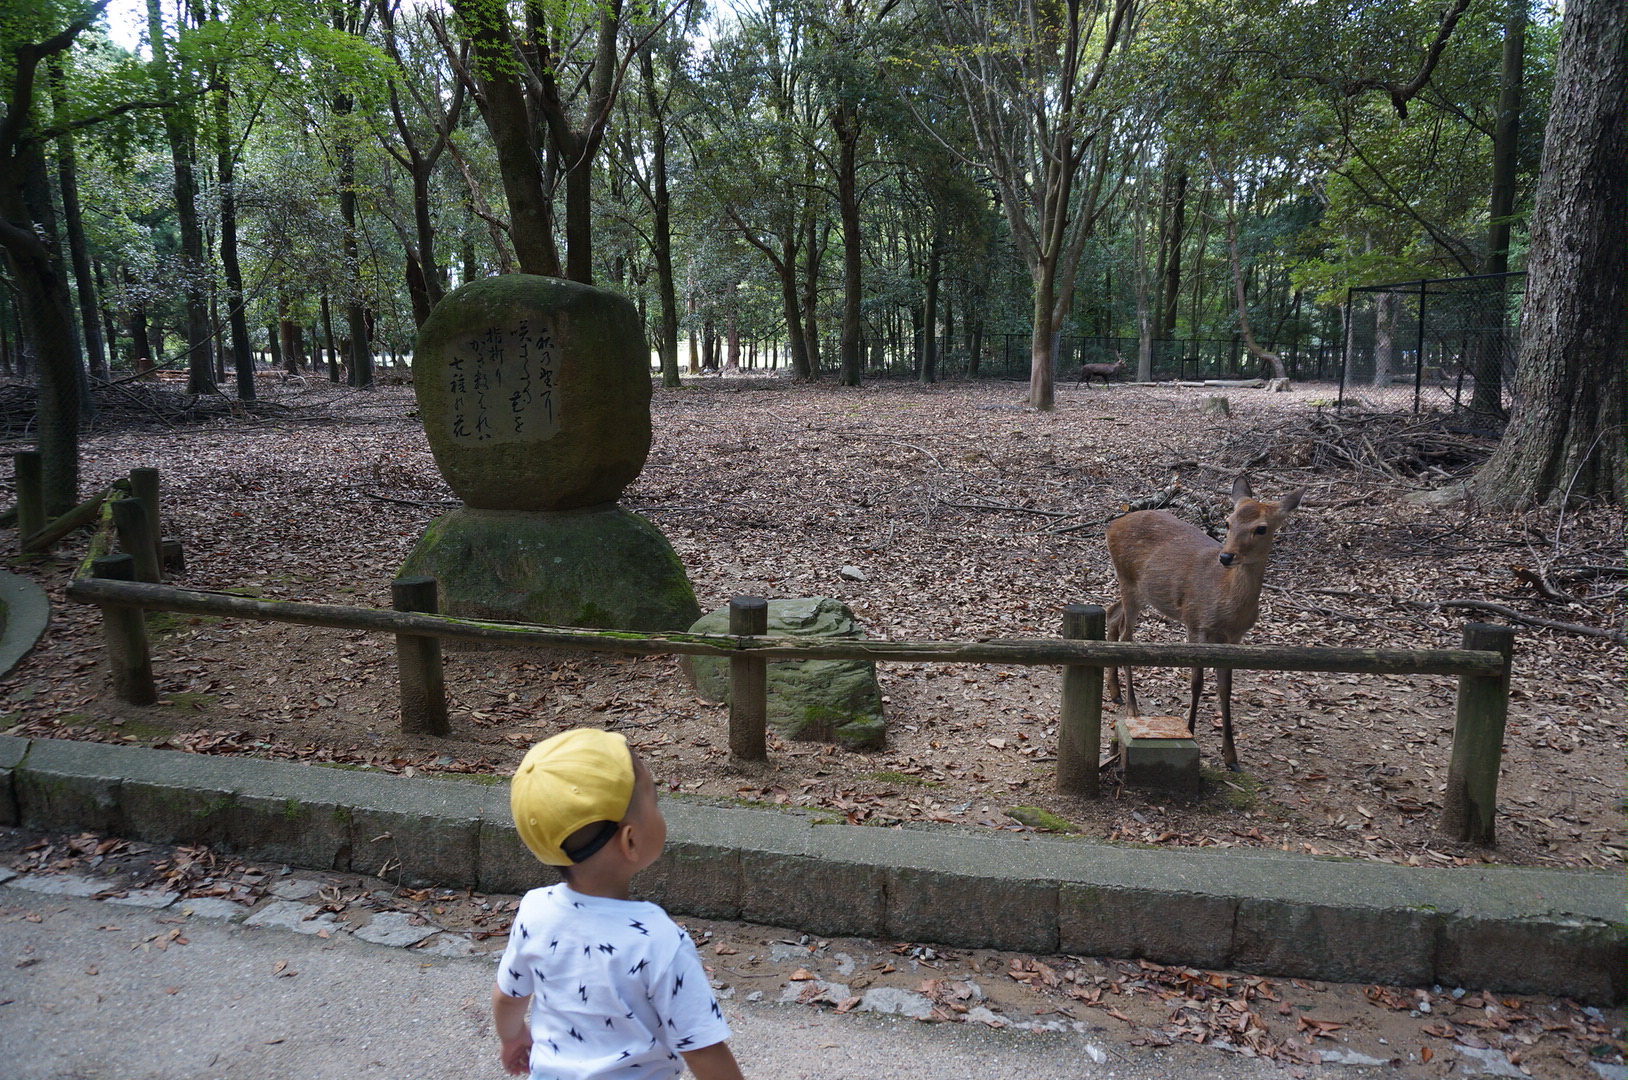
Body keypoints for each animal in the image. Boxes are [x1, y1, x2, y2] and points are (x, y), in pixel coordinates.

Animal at [1100, 478, 1302, 772]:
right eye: (1228, 522)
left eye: (1261, 528)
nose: (1226, 556)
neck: (1226, 604)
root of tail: (1112, 525)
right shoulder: (1196, 623)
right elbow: (1197, 682)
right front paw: (1190, 730)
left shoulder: (1234, 638)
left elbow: (1225, 687)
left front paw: (1231, 757)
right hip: (1128, 579)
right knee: (1127, 635)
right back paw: (1132, 707)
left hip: (1140, 590)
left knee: (1112, 613)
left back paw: (1115, 692)